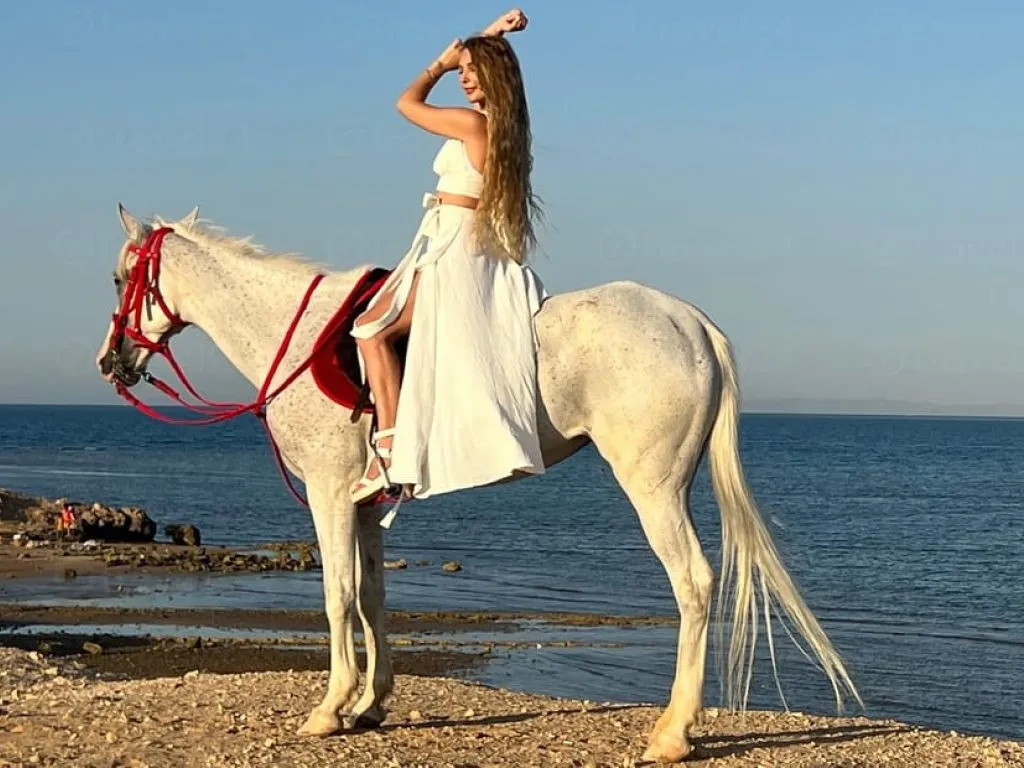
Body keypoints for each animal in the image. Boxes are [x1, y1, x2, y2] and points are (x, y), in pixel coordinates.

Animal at [95, 203, 860, 763]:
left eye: (120, 278)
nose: (110, 361)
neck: (303, 334)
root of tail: (688, 320)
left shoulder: (327, 496)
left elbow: (337, 597)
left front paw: (329, 708)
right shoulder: (366, 507)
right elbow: (372, 598)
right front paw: (370, 705)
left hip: (654, 487)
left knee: (694, 584)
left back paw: (673, 734)